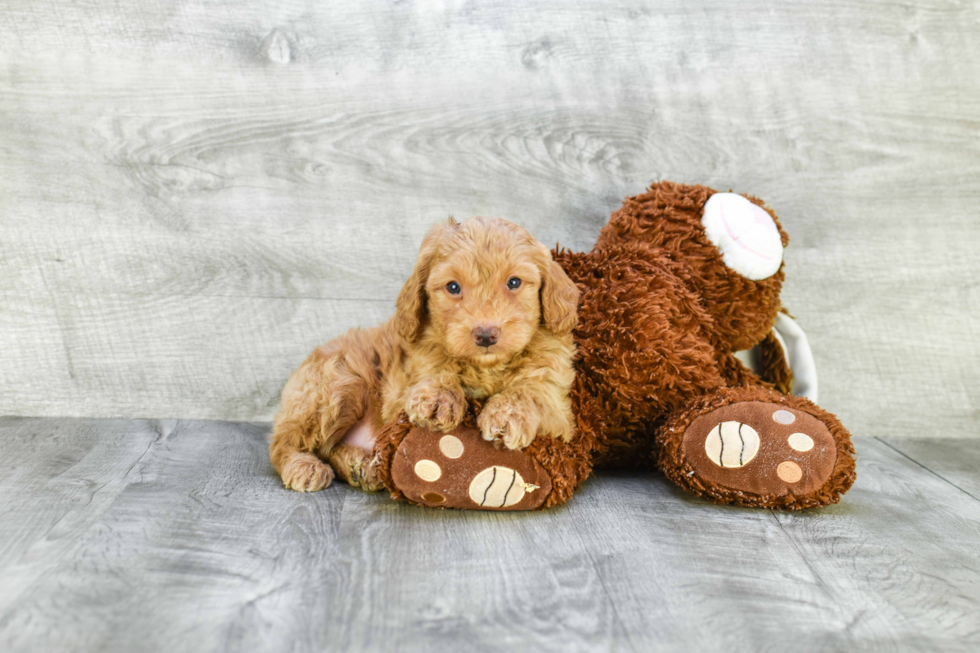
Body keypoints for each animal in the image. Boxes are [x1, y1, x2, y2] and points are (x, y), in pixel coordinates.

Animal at [268, 216, 580, 492]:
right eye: (453, 287)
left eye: (514, 282)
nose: (486, 334)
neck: (486, 367)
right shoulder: (409, 374)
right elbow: (436, 367)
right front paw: (439, 398)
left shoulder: (559, 408)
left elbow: (529, 392)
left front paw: (506, 416)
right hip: (336, 385)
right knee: (284, 444)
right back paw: (306, 466)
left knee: (330, 448)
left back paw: (361, 466)